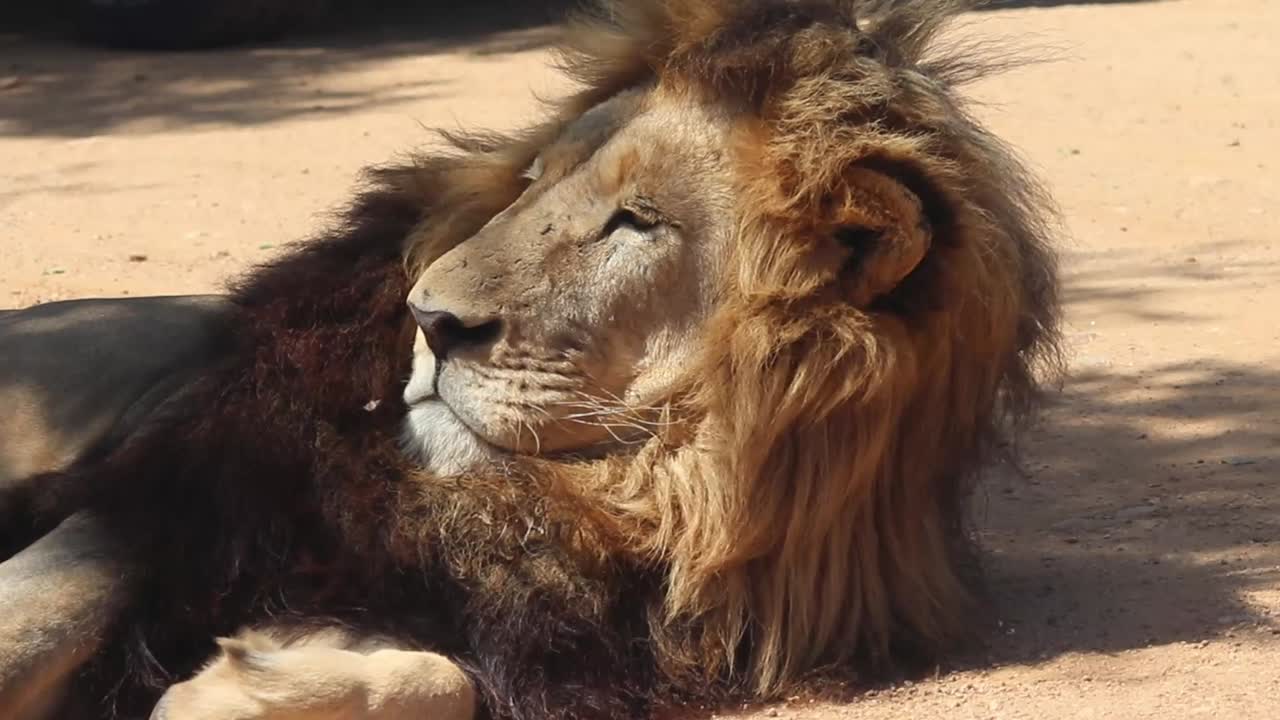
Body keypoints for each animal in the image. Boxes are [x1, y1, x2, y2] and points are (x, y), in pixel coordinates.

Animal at [0, 1, 1061, 719]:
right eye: (535, 185)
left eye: (635, 222)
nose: (429, 319)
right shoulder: (180, 488)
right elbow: (33, 624)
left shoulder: (547, 628)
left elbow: (444, 677)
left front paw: (235, 688)